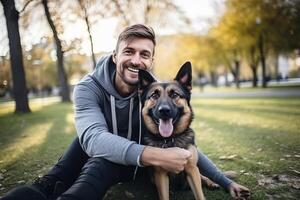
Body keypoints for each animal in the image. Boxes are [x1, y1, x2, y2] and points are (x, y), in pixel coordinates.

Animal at [139, 61, 206, 200]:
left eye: (174, 94)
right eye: (154, 95)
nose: (164, 111)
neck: (170, 139)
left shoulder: (192, 170)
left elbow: (200, 195)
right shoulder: (160, 175)